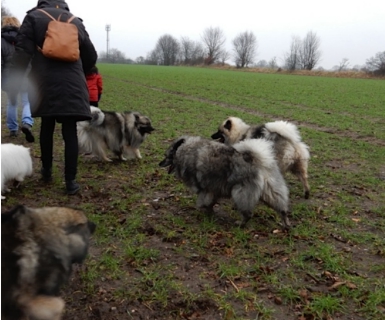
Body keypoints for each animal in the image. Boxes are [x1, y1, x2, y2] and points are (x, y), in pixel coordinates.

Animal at [158, 136, 290, 229]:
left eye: (166, 155)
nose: (159, 164)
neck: (185, 150)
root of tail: (255, 160)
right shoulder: (213, 189)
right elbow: (210, 203)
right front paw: (210, 212)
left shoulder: (205, 189)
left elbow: (203, 202)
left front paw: (204, 211)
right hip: (271, 192)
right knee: (282, 208)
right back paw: (286, 224)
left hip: (240, 194)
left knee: (248, 214)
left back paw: (240, 224)